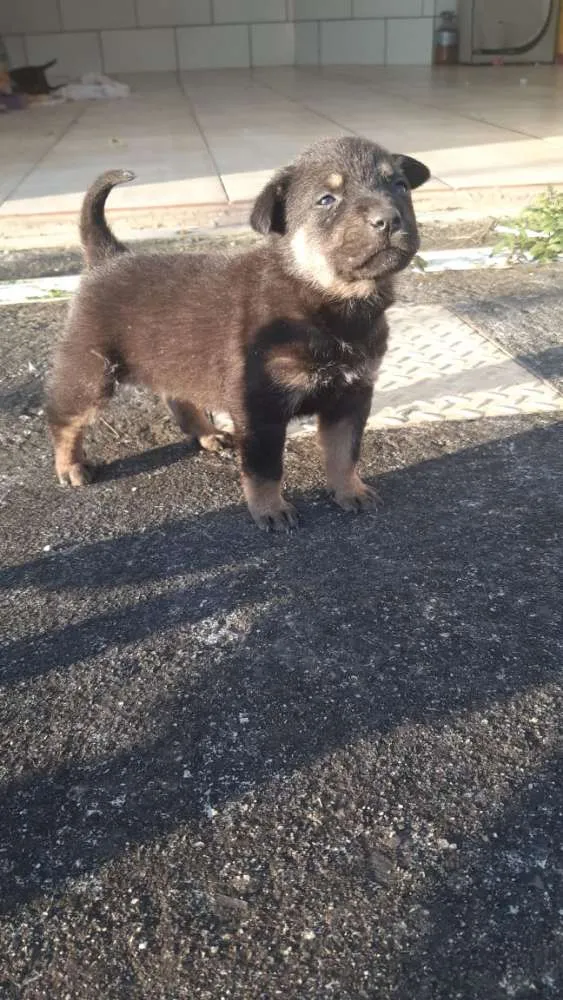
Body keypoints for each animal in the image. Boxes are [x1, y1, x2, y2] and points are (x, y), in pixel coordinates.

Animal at [47, 142, 428, 536]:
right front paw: (270, 510)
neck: (324, 298)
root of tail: (107, 257)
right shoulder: (261, 408)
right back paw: (70, 466)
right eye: (326, 200)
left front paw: (350, 490)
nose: (389, 219)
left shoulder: (352, 395)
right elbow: (264, 469)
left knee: (178, 397)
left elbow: (344, 453)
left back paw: (208, 435)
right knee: (63, 419)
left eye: (400, 186)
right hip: (90, 370)